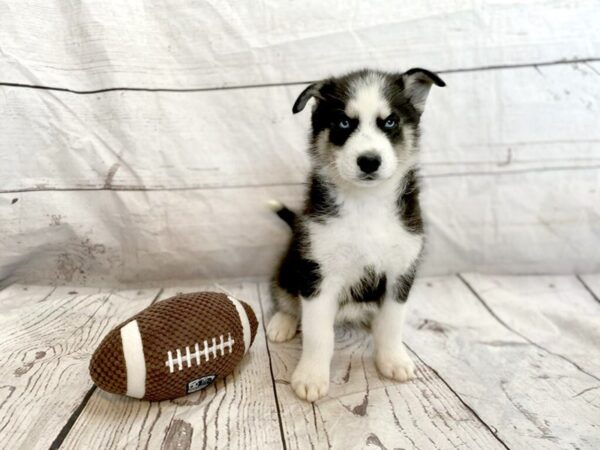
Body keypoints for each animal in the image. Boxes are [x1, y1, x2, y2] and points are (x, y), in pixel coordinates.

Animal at [268, 69, 446, 400]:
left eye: (390, 122)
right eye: (343, 123)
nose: (369, 161)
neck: (367, 202)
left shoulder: (400, 273)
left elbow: (391, 325)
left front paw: (393, 360)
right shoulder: (318, 273)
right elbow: (318, 333)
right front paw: (311, 376)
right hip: (291, 263)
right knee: (284, 295)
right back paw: (282, 322)